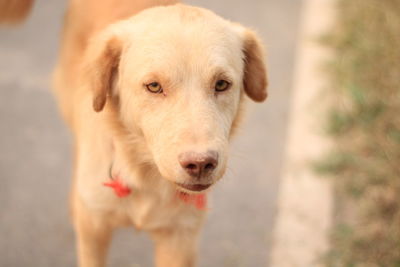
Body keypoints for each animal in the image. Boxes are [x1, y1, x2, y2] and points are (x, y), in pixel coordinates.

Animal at [1, 1, 268, 266]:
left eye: (221, 84)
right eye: (154, 86)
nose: (201, 163)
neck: (144, 176)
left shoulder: (180, 239)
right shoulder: (94, 231)